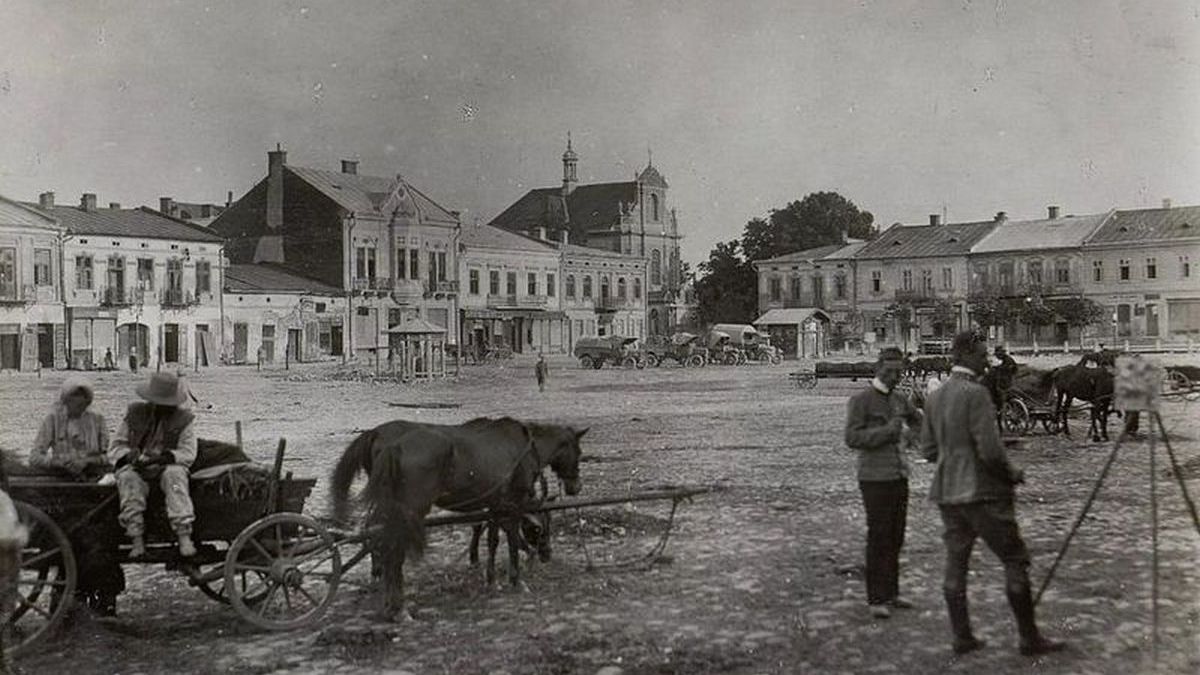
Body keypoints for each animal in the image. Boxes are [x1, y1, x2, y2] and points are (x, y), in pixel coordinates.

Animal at [333, 413, 585, 619]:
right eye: (539, 528)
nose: (576, 487)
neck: (526, 447)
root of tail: (392, 445)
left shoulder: (495, 505)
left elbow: (492, 540)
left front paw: (491, 579)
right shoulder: (513, 504)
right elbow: (511, 540)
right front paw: (516, 580)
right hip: (408, 511)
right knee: (392, 549)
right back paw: (398, 606)